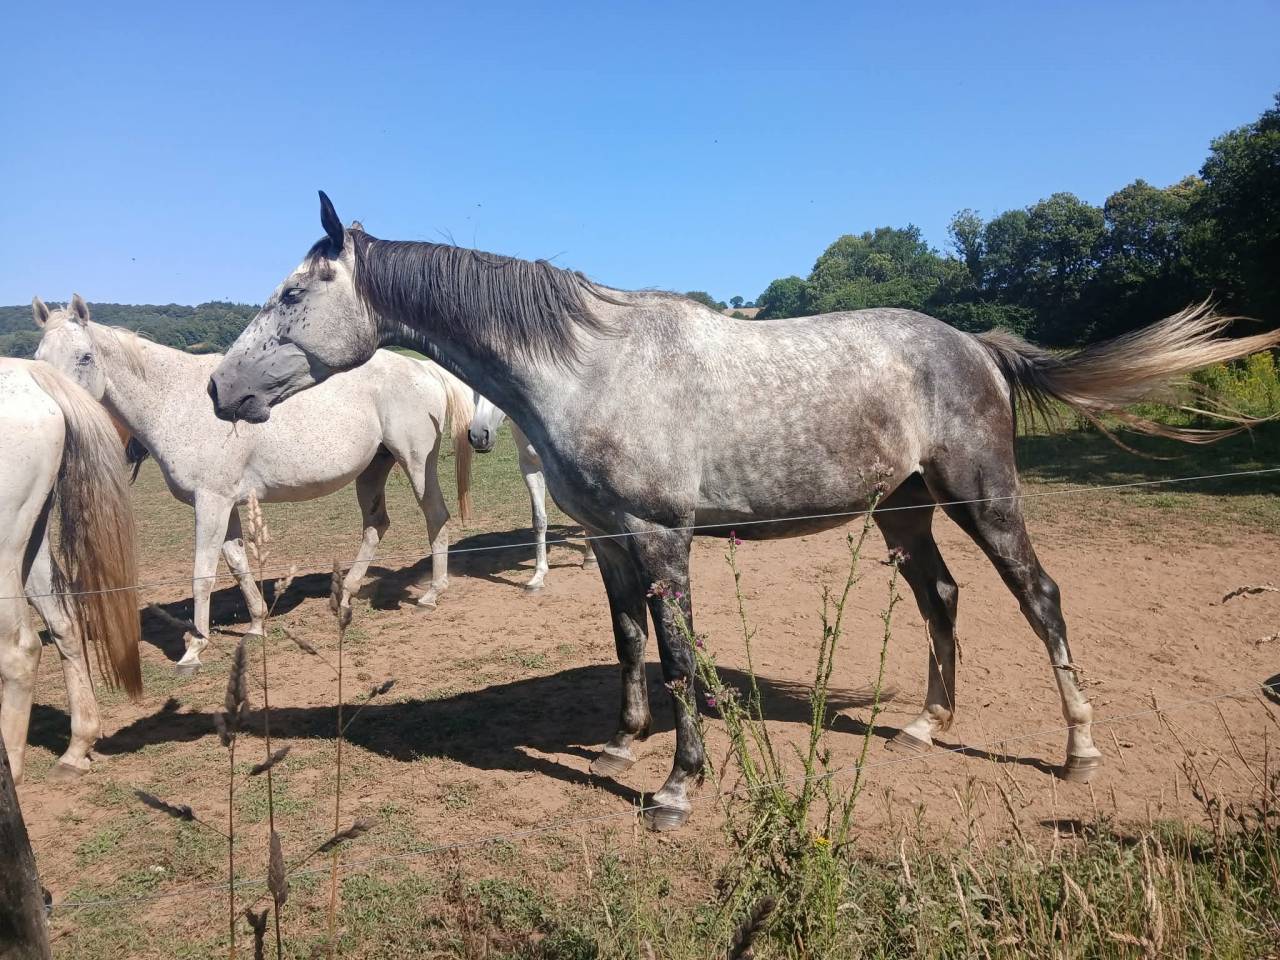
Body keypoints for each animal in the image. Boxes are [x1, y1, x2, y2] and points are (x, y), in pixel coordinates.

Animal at [34, 295, 475, 675]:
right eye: (38, 359)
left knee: (435, 516)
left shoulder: (210, 502)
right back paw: (347, 593)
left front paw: (193, 650)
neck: (176, 402)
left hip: (415, 462)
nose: (55, 411)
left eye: (85, 356)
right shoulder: (226, 503)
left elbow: (203, 573)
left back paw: (431, 595)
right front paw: (257, 625)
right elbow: (237, 563)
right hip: (373, 469)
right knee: (375, 525)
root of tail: (424, 369)